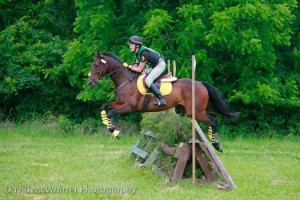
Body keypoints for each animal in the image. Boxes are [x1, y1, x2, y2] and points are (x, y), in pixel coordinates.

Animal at [88, 51, 240, 152]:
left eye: (96, 65)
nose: (90, 82)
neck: (125, 80)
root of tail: (200, 83)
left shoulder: (129, 107)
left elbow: (112, 113)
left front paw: (114, 131)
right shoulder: (119, 103)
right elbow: (104, 106)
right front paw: (108, 125)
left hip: (195, 111)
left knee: (212, 120)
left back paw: (216, 145)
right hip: (189, 111)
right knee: (212, 117)